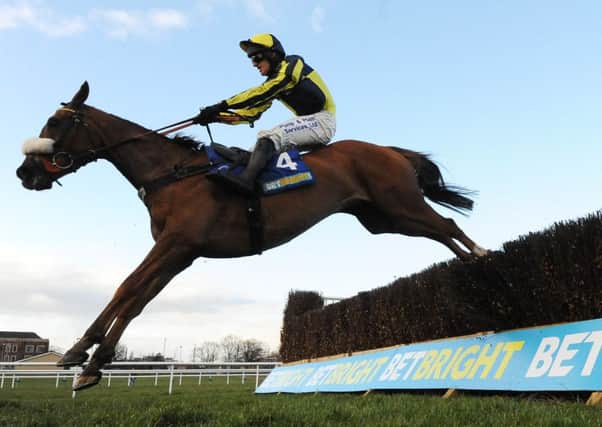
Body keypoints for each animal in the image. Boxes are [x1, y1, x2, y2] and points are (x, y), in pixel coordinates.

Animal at [16, 81, 486, 392]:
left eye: (55, 121)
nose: (25, 172)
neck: (173, 173)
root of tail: (390, 150)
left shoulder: (176, 244)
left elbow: (127, 288)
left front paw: (81, 352)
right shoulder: (180, 253)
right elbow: (137, 299)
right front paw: (92, 361)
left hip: (400, 205)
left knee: (448, 227)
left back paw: (483, 262)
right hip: (383, 218)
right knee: (441, 233)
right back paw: (472, 268)